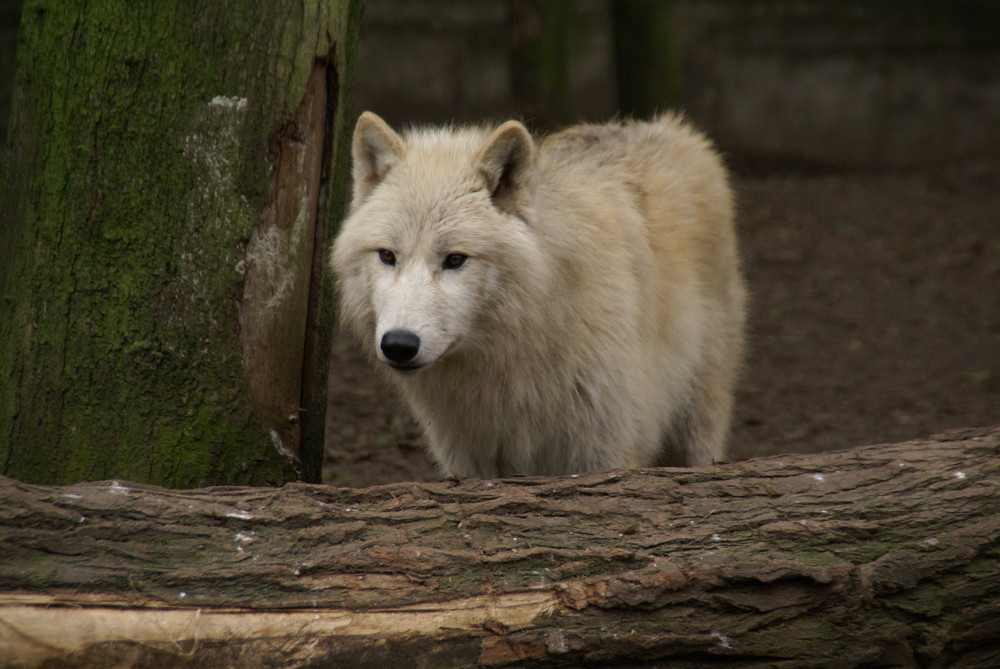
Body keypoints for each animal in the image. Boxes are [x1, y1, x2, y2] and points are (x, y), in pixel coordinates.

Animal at [332, 111, 748, 474]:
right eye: (387, 256)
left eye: (455, 259)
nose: (399, 345)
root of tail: (675, 129)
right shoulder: (470, 462)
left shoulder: (603, 451)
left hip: (697, 427)